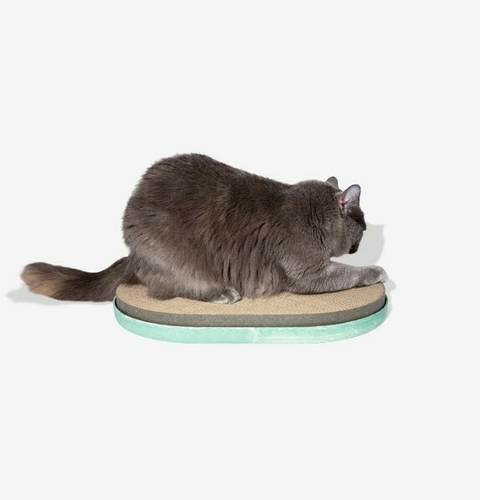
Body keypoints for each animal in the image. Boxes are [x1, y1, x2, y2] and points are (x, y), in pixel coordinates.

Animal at [21, 153, 387, 303]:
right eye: (363, 228)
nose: (359, 242)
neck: (313, 215)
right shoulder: (308, 270)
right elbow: (346, 273)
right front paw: (375, 271)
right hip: (179, 258)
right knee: (171, 288)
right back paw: (223, 293)